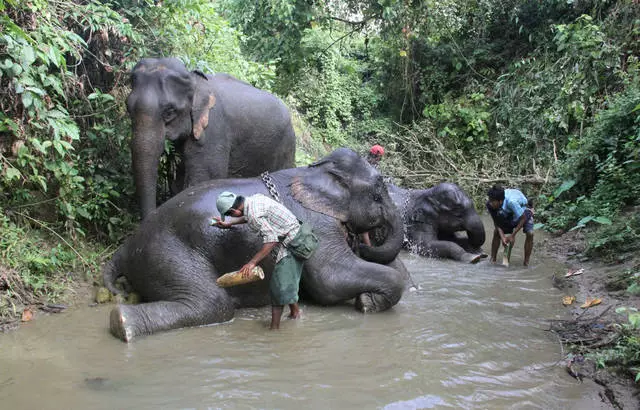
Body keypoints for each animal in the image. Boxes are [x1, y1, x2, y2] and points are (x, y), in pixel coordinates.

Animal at [102, 149, 408, 342]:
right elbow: (331, 279)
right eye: (378, 194)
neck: (314, 170)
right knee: (214, 304)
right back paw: (121, 323)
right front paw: (367, 303)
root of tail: (126, 247)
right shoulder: (317, 222)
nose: (363, 241)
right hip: (166, 252)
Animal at [128, 57, 298, 219]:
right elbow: (177, 181)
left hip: (287, 146)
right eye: (128, 108)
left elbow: (203, 180)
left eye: (170, 112)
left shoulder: (213, 130)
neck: (195, 80)